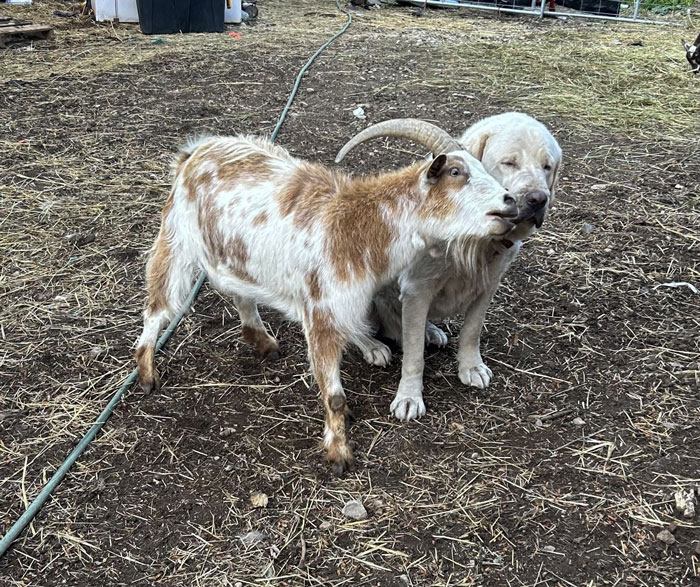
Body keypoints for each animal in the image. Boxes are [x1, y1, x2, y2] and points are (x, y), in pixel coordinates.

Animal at [134, 124, 517, 473]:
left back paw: (262, 340)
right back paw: (147, 372)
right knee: (158, 305)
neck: (355, 224)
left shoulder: (344, 303)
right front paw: (338, 454)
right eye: (456, 172)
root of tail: (195, 151)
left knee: (240, 291)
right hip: (177, 241)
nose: (510, 202)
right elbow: (333, 396)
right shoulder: (320, 310)